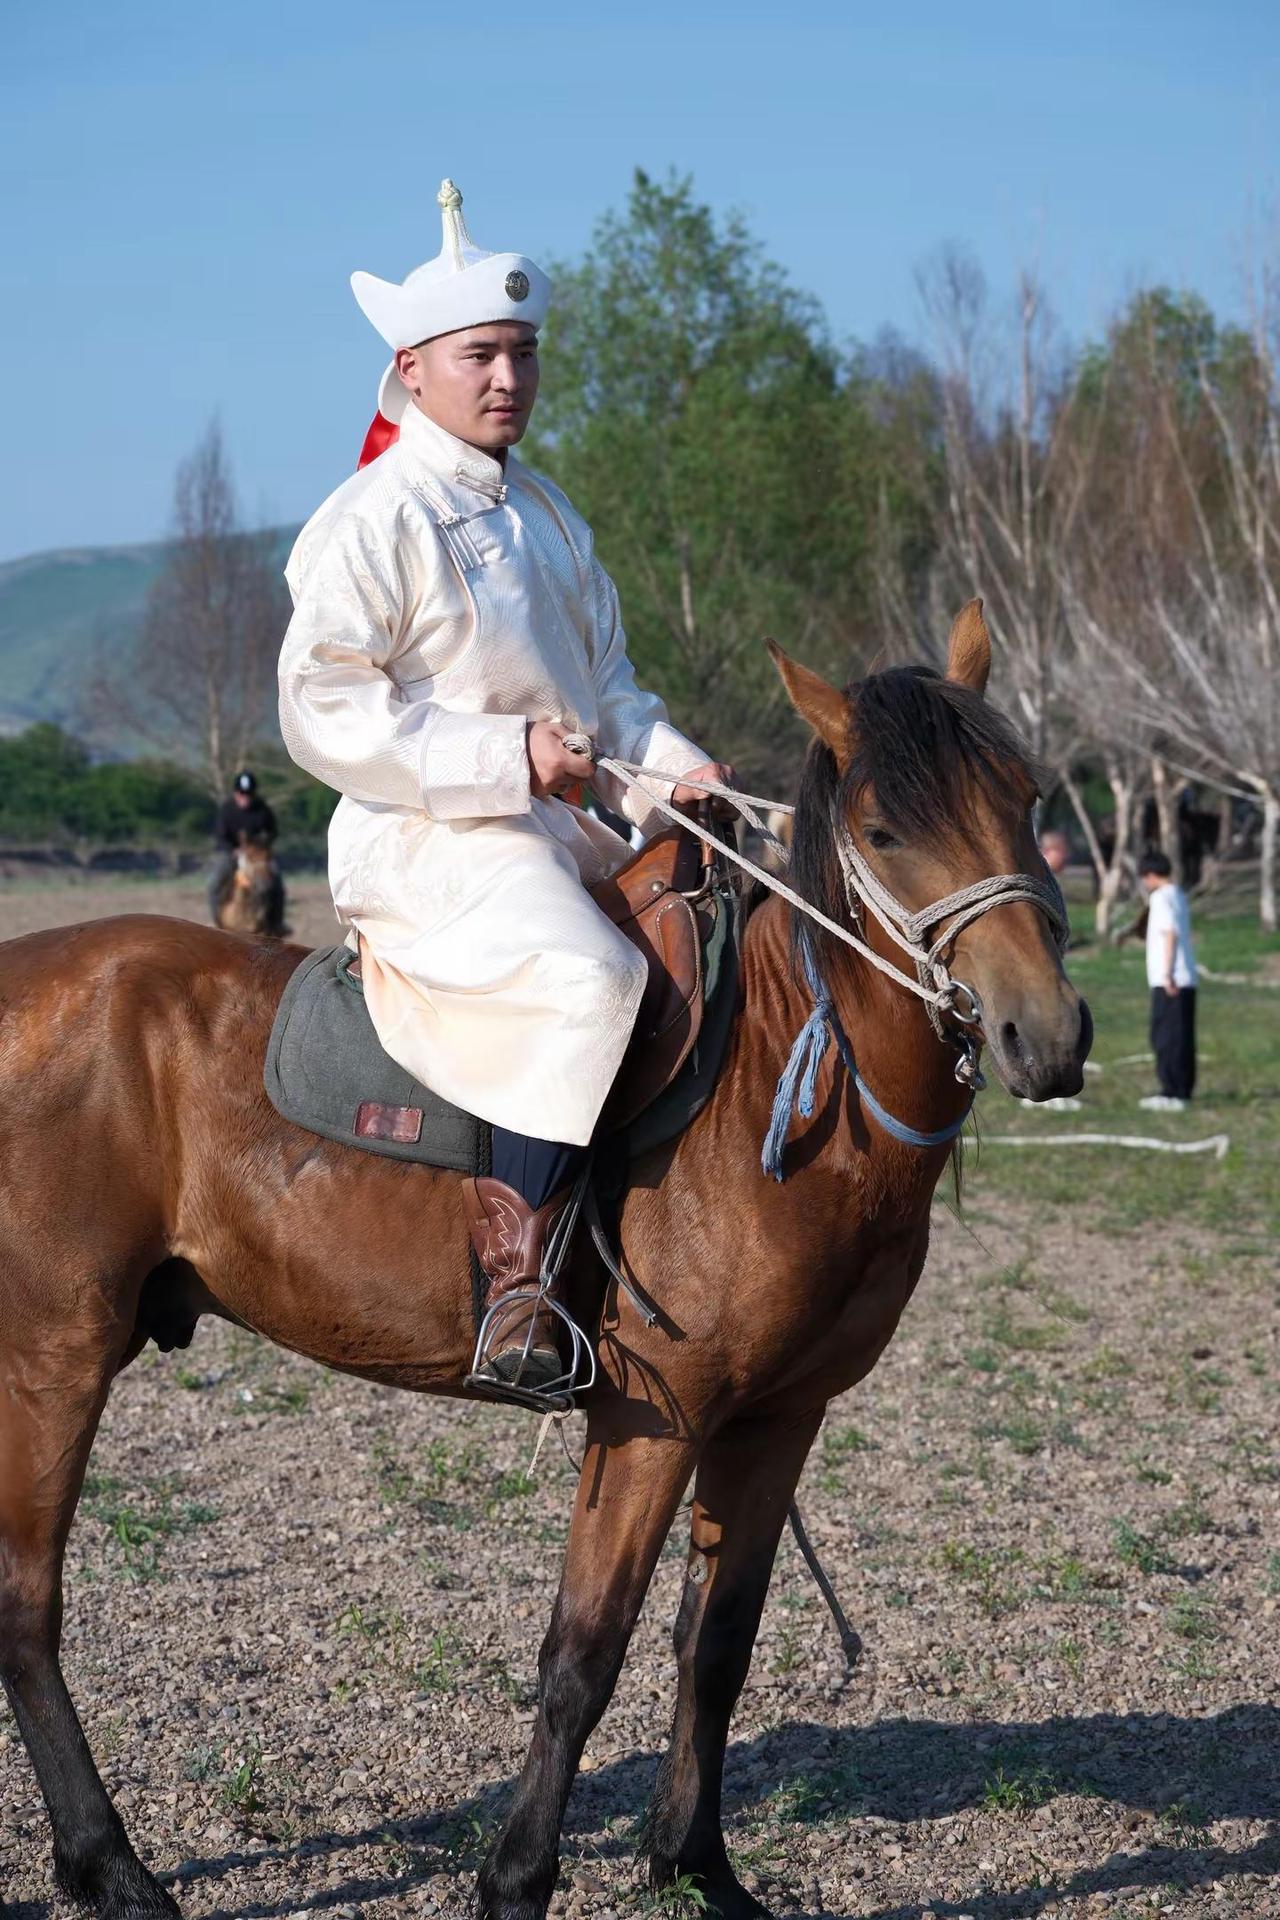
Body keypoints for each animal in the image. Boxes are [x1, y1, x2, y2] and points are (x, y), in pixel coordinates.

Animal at [0, 604, 1090, 1920]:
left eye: (1024, 794)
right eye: (885, 829)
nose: (1048, 1035)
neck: (780, 1085)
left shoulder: (777, 1416)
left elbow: (715, 1644)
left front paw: (696, 1865)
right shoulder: (651, 1420)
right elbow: (585, 1649)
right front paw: (517, 1879)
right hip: (55, 1355)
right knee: (25, 1606)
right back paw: (111, 1867)